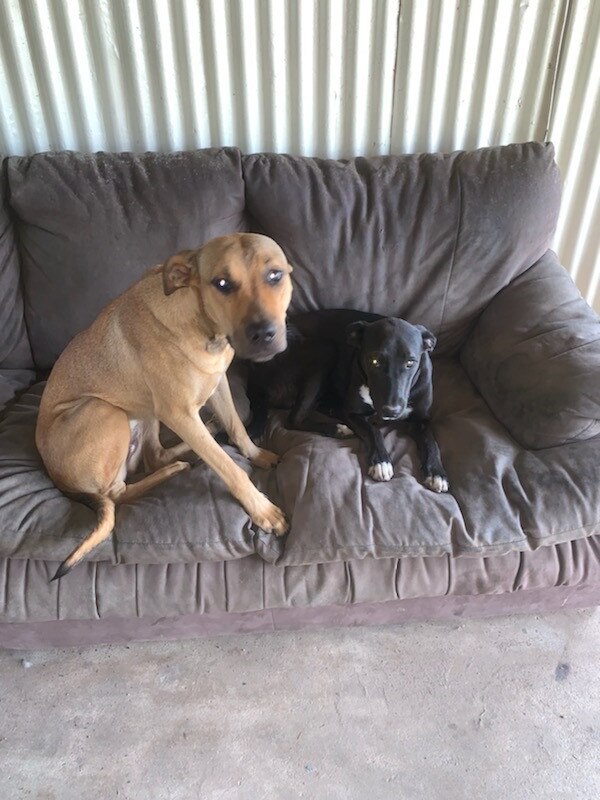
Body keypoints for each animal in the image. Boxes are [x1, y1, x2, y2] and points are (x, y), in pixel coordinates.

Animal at [35, 233, 292, 580]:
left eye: (275, 275)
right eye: (222, 283)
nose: (263, 334)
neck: (201, 322)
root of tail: (58, 479)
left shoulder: (218, 384)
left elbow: (237, 427)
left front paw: (256, 453)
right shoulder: (178, 413)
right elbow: (228, 466)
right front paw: (262, 509)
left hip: (144, 412)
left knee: (154, 456)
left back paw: (192, 446)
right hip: (104, 410)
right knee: (116, 493)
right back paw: (175, 466)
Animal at [243, 310, 446, 490]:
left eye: (410, 362)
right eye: (374, 361)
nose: (391, 411)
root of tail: (254, 373)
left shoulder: (421, 418)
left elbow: (431, 440)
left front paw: (437, 472)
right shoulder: (352, 413)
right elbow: (373, 430)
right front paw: (381, 461)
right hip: (326, 350)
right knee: (294, 419)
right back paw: (336, 428)